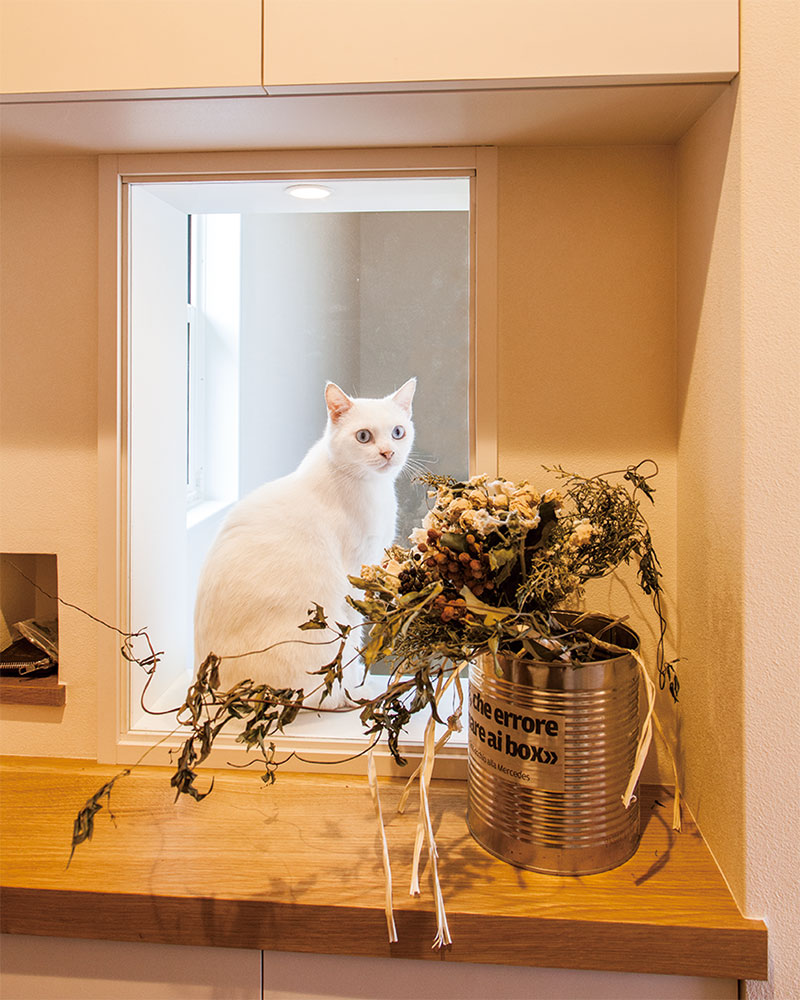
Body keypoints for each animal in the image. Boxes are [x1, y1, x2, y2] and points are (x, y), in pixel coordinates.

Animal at [195, 378, 418, 708]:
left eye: (398, 432)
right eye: (364, 436)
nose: (388, 452)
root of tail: (226, 695)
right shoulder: (356, 574)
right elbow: (354, 642)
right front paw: (357, 688)